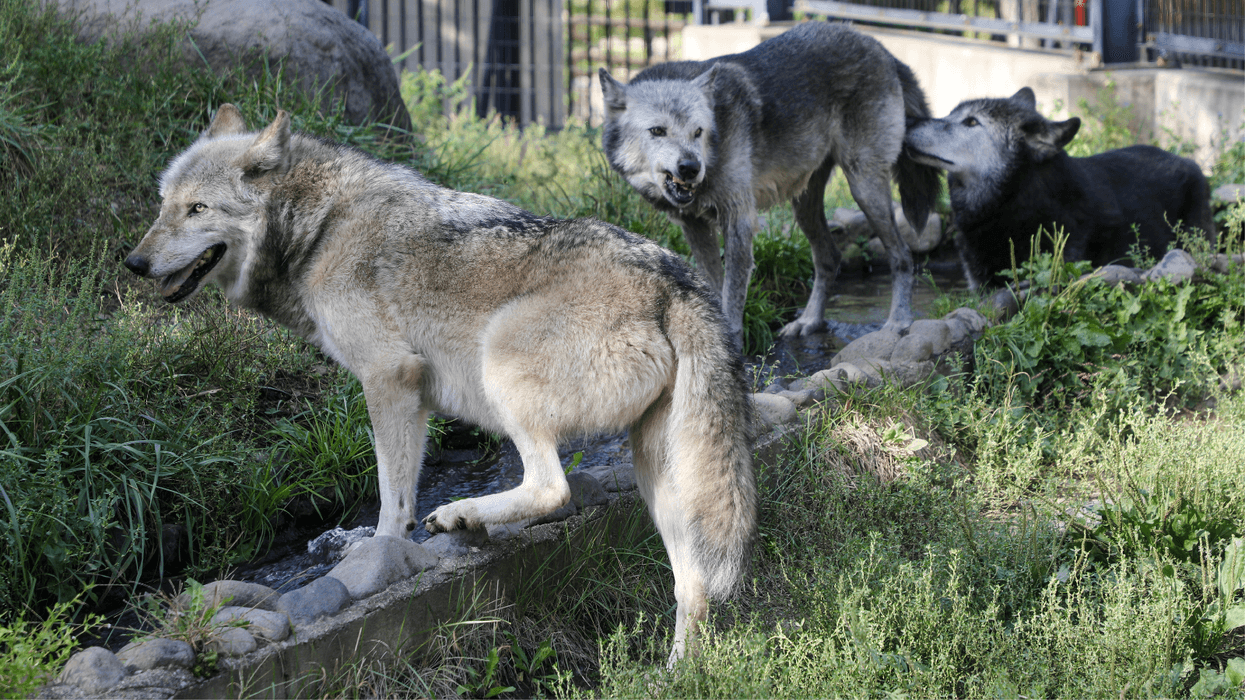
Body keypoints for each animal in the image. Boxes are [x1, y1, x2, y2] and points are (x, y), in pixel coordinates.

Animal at [123, 104, 756, 665]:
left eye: (197, 208)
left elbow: (391, 497)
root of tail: (677, 282)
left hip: (500, 367)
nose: (133, 263)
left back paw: (462, 514)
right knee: (693, 586)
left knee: (553, 490)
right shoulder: (415, 396)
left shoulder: (389, 377)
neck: (320, 229)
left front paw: (381, 550)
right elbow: (400, 485)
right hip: (662, 481)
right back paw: (676, 670)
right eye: (164, 206)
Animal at [599, 21, 941, 345]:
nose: (691, 168)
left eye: (698, 132)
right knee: (829, 257)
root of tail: (882, 49)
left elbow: (731, 300)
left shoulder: (738, 220)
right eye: (657, 131)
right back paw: (809, 322)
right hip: (804, 205)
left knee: (902, 255)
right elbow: (713, 287)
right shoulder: (694, 226)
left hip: (864, 186)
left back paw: (898, 323)